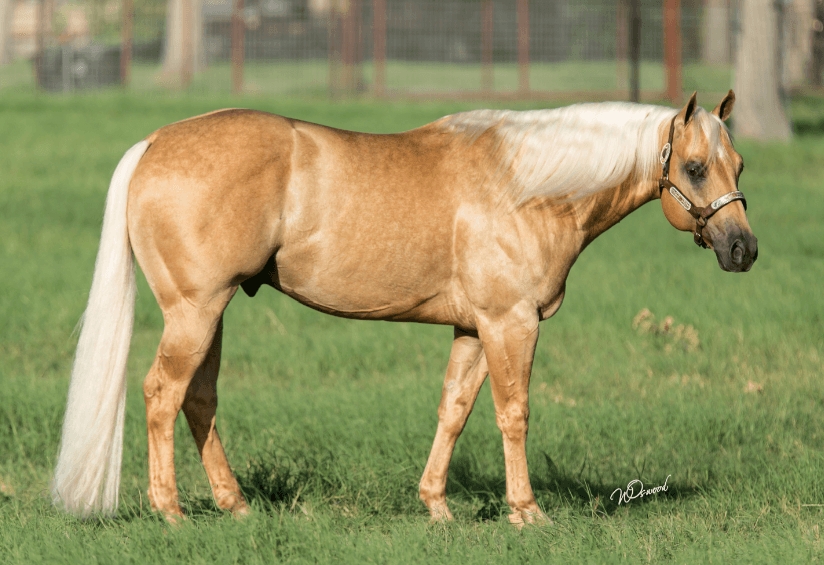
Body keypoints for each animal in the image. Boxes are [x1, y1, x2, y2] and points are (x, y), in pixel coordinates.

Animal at [51, 91, 756, 520]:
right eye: (695, 168)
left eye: (740, 165)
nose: (742, 248)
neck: (524, 188)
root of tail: (154, 143)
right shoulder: (511, 323)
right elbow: (514, 415)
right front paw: (526, 512)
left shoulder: (473, 329)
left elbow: (454, 412)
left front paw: (436, 505)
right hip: (194, 312)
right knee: (161, 393)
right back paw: (170, 511)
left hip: (212, 312)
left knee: (198, 399)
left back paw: (235, 504)